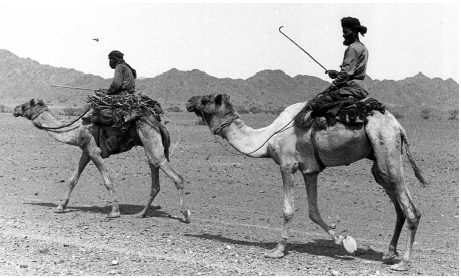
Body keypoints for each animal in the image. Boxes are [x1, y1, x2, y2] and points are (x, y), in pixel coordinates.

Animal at [13, 99, 190, 223]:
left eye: (26, 104)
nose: (15, 109)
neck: (76, 130)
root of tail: (159, 125)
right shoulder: (86, 151)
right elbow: (73, 180)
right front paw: (60, 207)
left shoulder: (94, 151)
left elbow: (108, 181)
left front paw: (114, 212)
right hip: (150, 147)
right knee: (155, 179)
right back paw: (141, 214)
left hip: (150, 139)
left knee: (176, 176)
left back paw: (185, 215)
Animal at [185, 92, 426, 270]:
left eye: (206, 99)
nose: (188, 101)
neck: (267, 139)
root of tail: (399, 127)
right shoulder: (310, 171)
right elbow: (313, 211)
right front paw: (343, 241)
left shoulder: (287, 165)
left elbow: (288, 210)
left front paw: (277, 250)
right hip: (379, 161)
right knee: (398, 206)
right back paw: (389, 253)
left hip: (386, 147)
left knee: (411, 209)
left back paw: (403, 262)